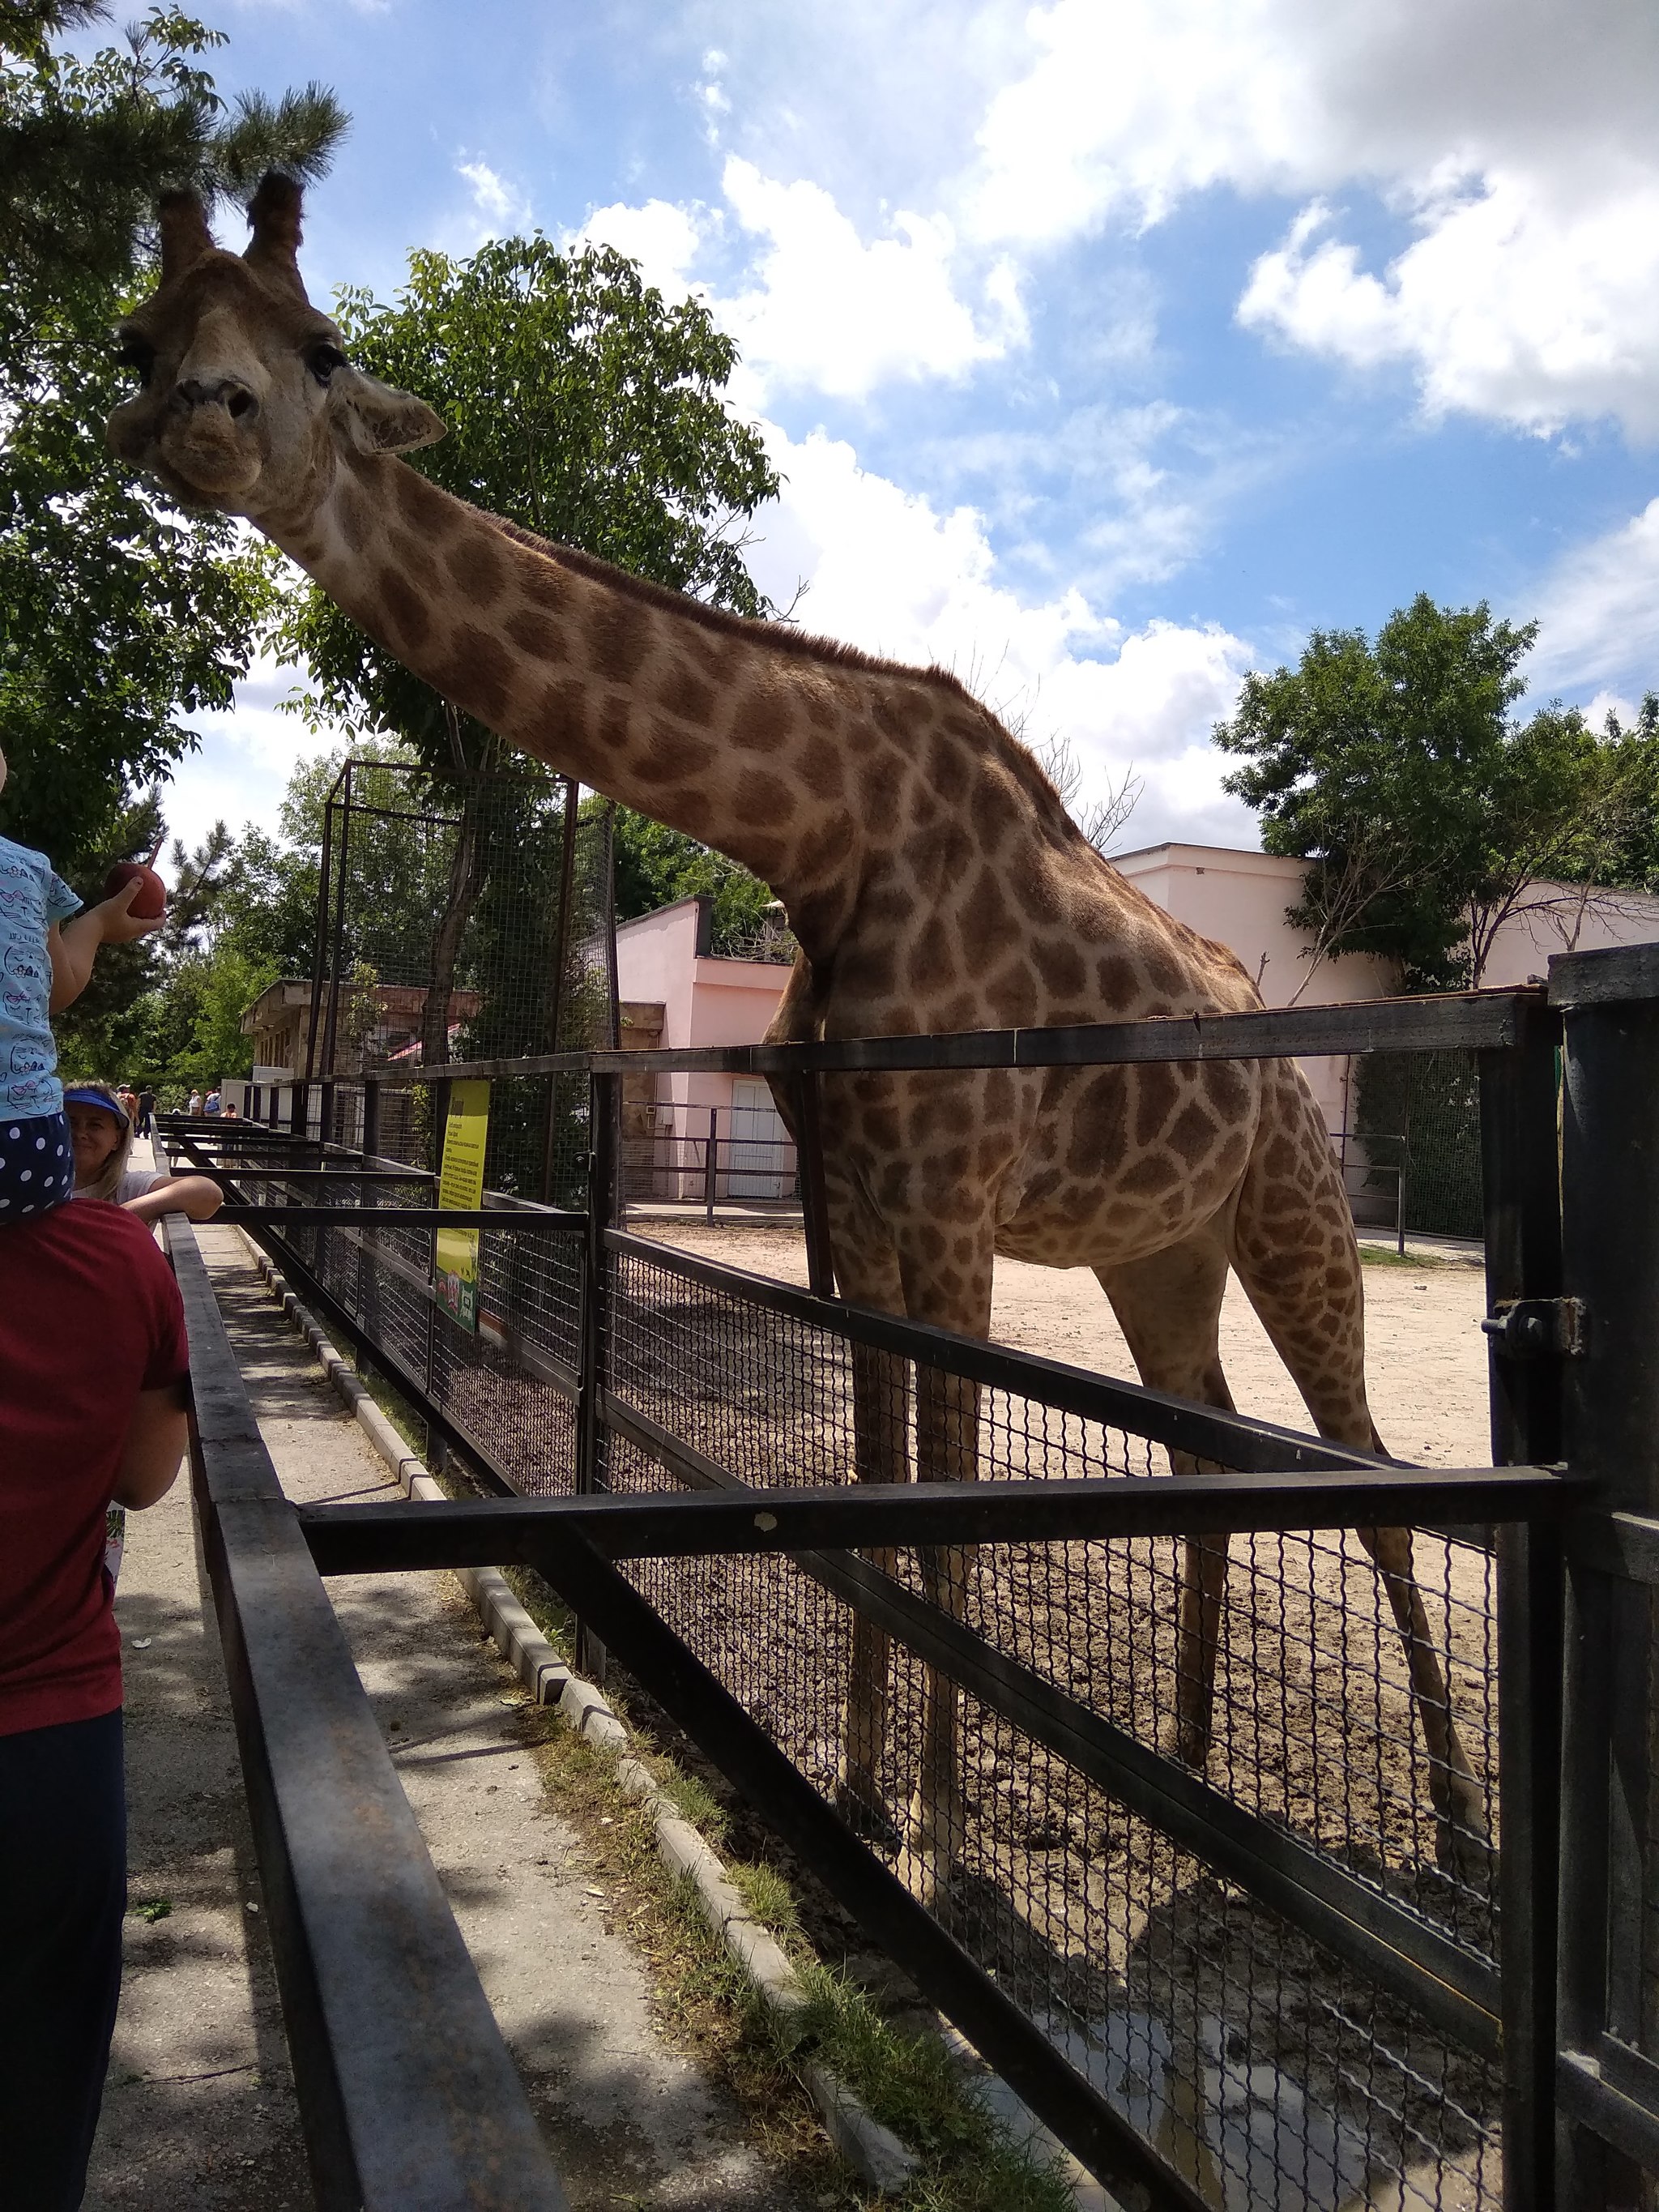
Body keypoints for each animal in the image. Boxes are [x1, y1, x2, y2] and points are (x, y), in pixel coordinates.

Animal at [107, 181, 1495, 1893]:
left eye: (316, 342)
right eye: (141, 337)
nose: (201, 420)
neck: (829, 840)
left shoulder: (948, 1202)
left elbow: (944, 1506)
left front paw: (950, 1843)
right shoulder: (864, 1204)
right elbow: (875, 1496)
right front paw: (860, 1787)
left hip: (1294, 1208)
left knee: (1368, 1479)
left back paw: (1452, 1828)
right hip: (1155, 1245)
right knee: (1206, 1448)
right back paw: (1183, 1772)